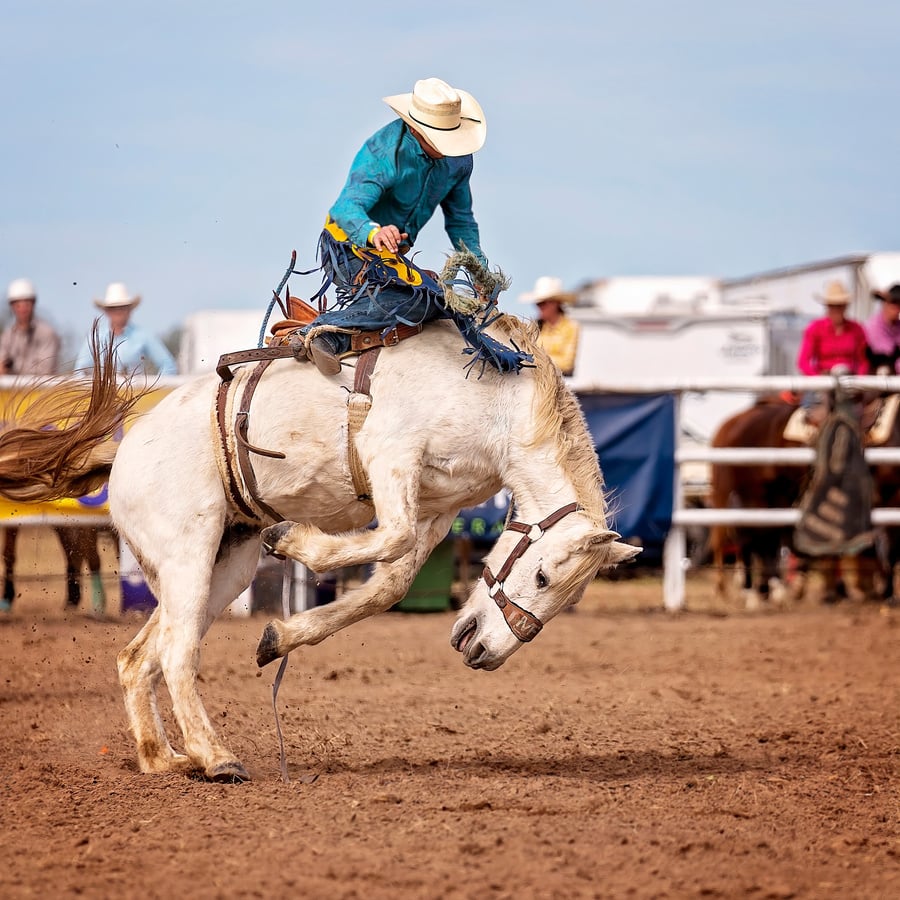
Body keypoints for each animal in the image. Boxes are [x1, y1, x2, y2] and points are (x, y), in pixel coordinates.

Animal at [0, 316, 640, 780]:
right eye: (542, 578)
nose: (484, 652)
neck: (498, 403)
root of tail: (122, 451)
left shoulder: (437, 509)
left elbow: (389, 583)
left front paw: (280, 636)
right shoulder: (391, 454)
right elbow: (388, 539)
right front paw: (293, 539)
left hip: (222, 569)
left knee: (140, 657)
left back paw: (163, 758)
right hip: (188, 552)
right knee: (178, 653)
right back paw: (216, 757)